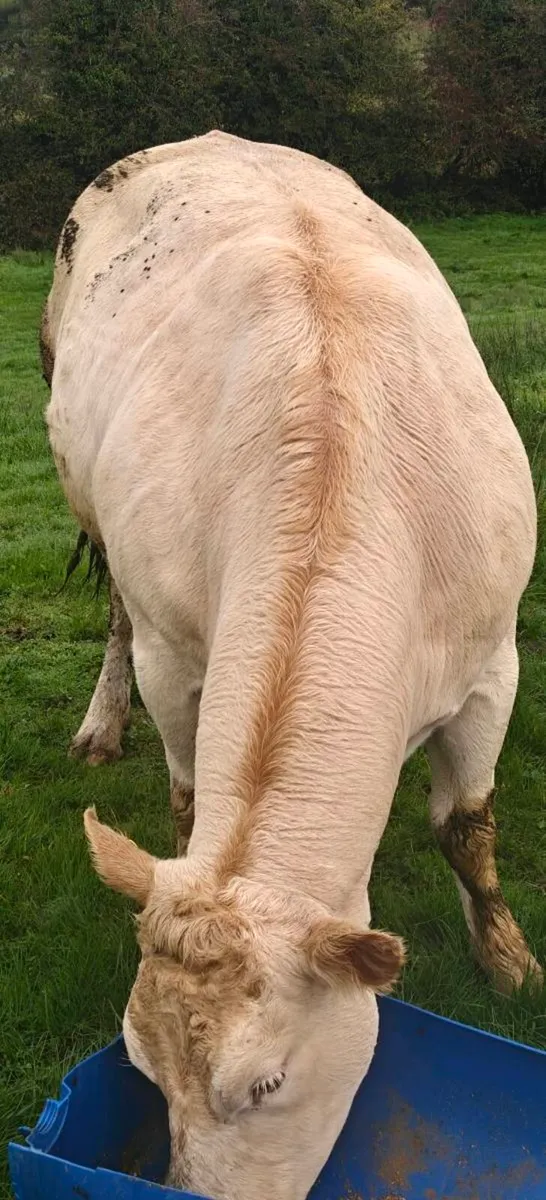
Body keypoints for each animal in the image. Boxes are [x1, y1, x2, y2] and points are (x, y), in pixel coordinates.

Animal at [41, 131, 541, 1200]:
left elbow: (468, 828)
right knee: (113, 610)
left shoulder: (494, 660)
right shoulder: (175, 657)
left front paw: (510, 964)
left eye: (266, 1084)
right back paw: (101, 724)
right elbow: (189, 801)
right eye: (140, 1068)